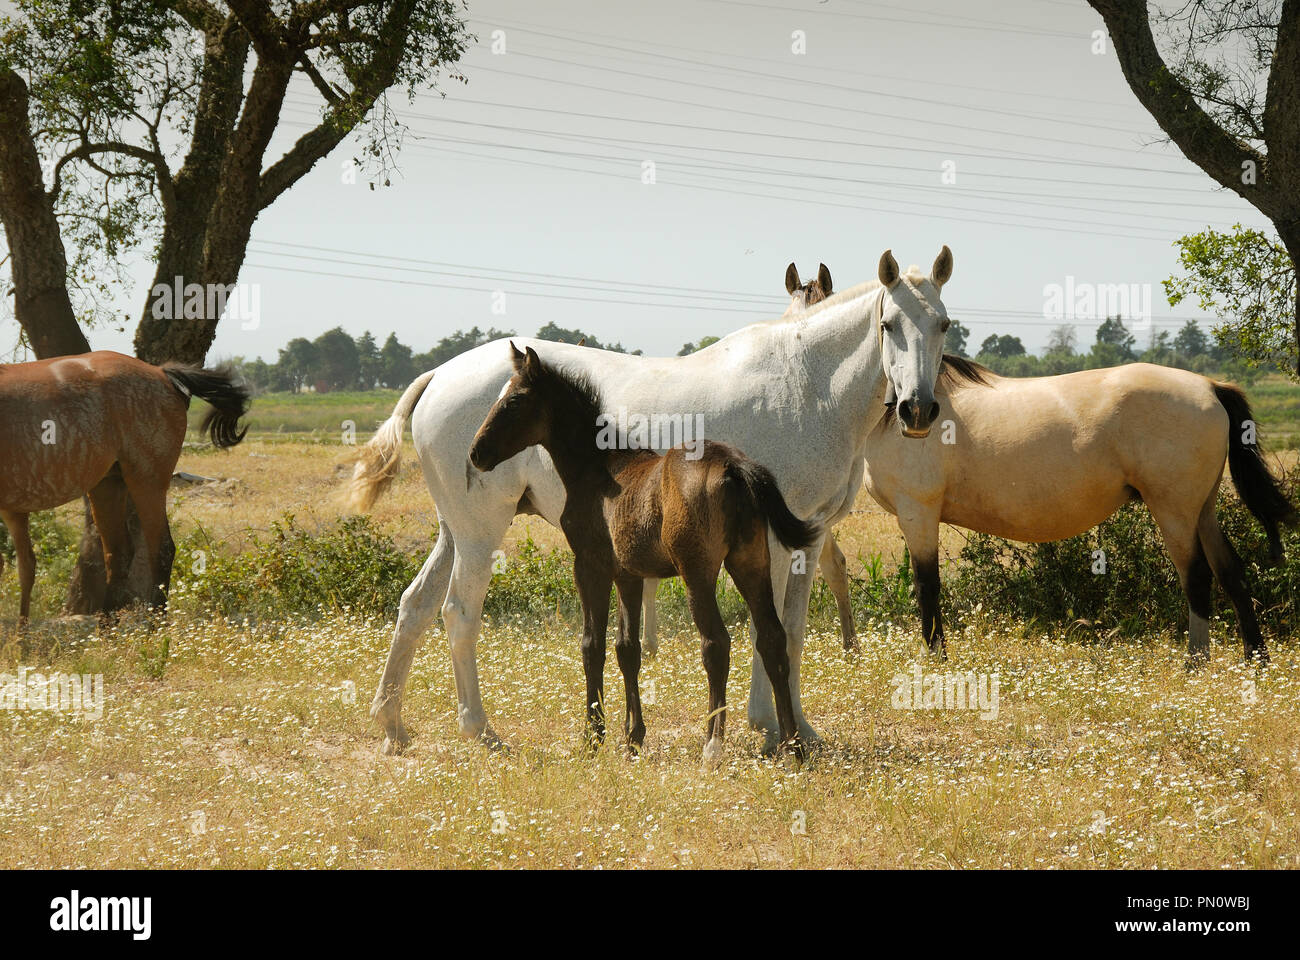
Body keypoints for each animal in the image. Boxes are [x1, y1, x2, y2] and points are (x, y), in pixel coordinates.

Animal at [0, 351, 250, 621]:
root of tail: (162, 373)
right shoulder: (14, 509)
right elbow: (25, 566)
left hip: (147, 481)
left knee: (162, 550)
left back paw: (155, 625)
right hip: (107, 486)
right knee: (118, 555)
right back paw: (105, 627)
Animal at [469, 343, 818, 759]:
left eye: (515, 400)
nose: (476, 453)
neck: (598, 469)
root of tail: (734, 466)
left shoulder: (590, 566)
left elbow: (592, 646)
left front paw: (593, 736)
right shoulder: (629, 575)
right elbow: (628, 649)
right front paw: (632, 736)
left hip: (698, 571)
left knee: (716, 644)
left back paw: (712, 745)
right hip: (750, 562)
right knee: (772, 639)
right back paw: (792, 744)